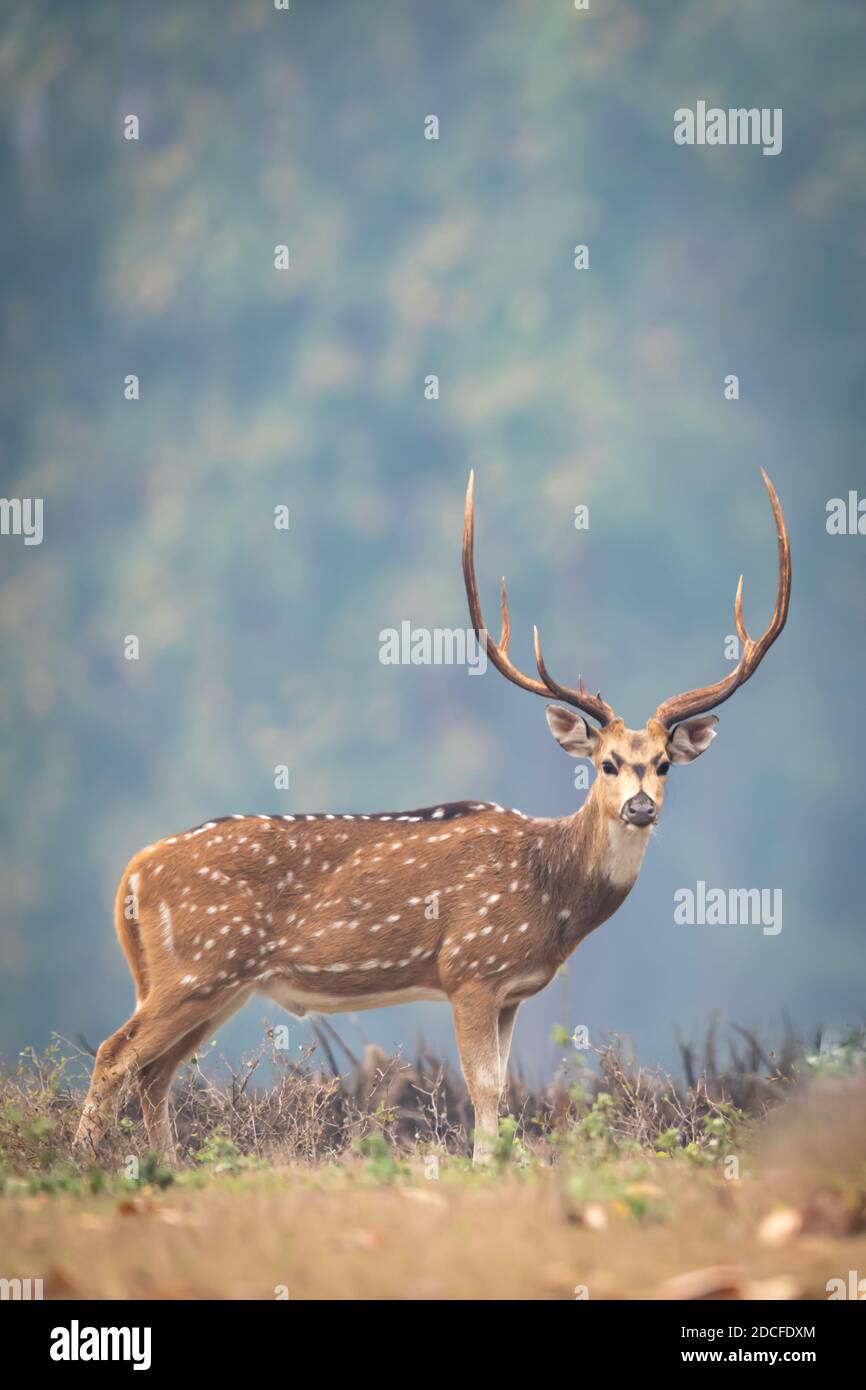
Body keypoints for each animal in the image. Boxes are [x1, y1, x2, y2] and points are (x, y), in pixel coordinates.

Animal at [75, 470, 791, 1164]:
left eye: (664, 764)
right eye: (608, 763)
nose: (640, 806)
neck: (551, 896)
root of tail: (133, 871)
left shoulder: (511, 992)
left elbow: (501, 1086)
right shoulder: (470, 968)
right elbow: (485, 1087)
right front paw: (484, 1168)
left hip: (211, 984)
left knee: (155, 1072)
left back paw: (163, 1167)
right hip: (197, 966)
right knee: (114, 1056)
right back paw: (81, 1162)